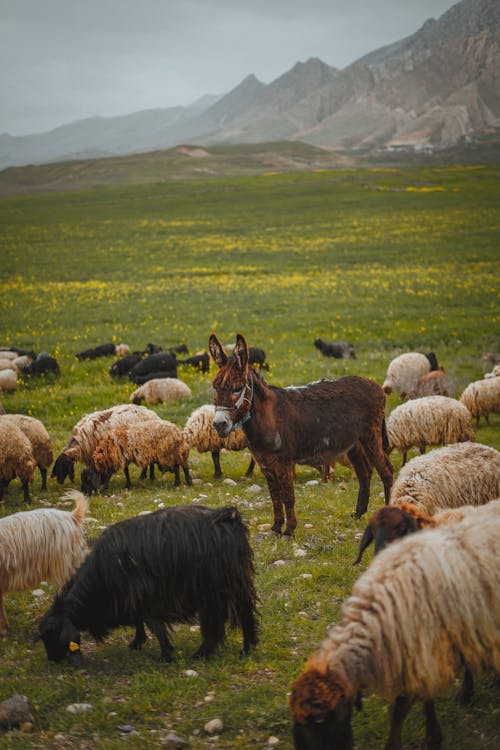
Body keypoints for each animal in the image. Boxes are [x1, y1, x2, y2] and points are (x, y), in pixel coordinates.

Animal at [38, 506, 258, 664]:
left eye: (52, 636)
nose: (52, 661)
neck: (100, 574)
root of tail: (229, 518)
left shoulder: (146, 599)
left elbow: (155, 627)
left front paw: (166, 655)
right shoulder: (134, 600)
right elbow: (139, 622)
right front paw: (137, 643)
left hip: (212, 590)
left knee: (214, 625)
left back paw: (203, 653)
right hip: (239, 584)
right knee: (246, 614)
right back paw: (248, 648)